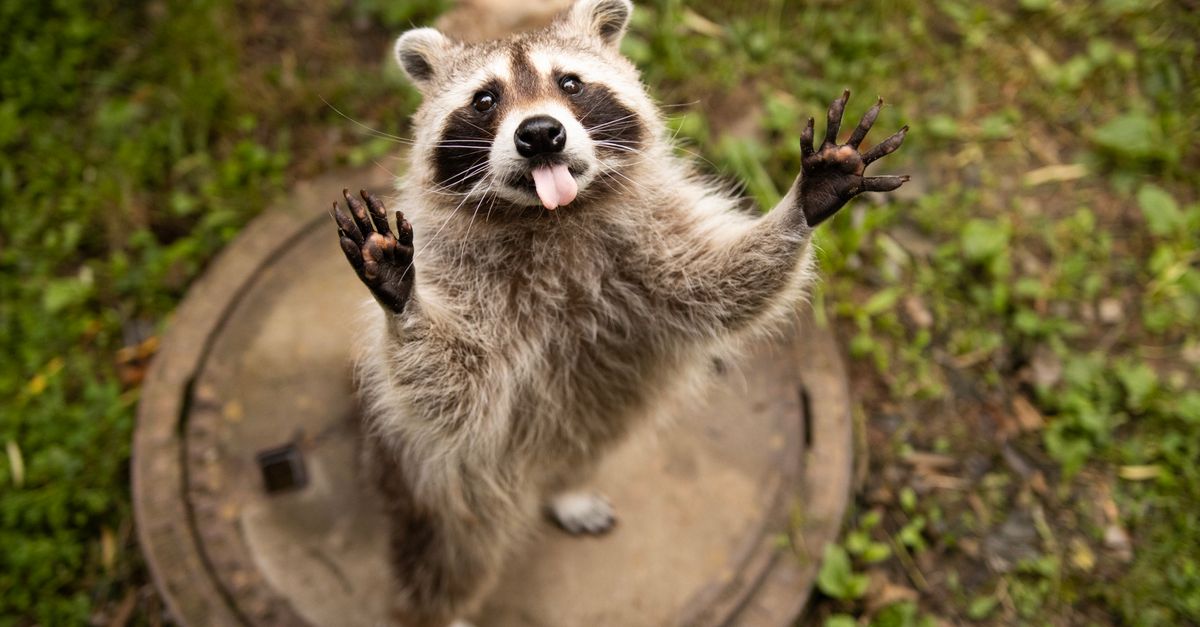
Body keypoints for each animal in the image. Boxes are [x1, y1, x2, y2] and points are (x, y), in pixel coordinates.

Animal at [330, 0, 908, 625]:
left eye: (570, 83)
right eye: (484, 100)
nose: (540, 134)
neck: (552, 215)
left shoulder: (654, 240)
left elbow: (722, 286)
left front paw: (806, 199)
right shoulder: (460, 280)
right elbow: (452, 389)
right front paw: (403, 300)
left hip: (602, 411)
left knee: (589, 439)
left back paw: (568, 485)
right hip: (433, 483)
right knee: (450, 552)